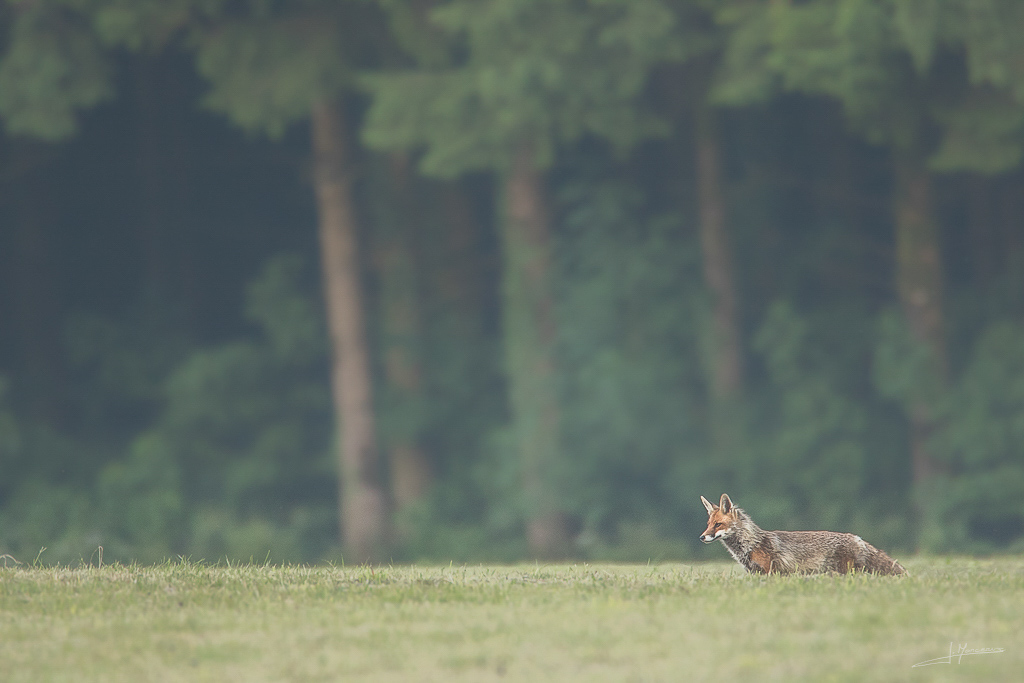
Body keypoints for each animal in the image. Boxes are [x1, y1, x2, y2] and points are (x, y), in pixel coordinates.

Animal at [700, 491, 909, 577]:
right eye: (708, 525)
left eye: (718, 525)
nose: (701, 537)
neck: (751, 544)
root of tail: (858, 538)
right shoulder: (755, 574)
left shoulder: (769, 572)